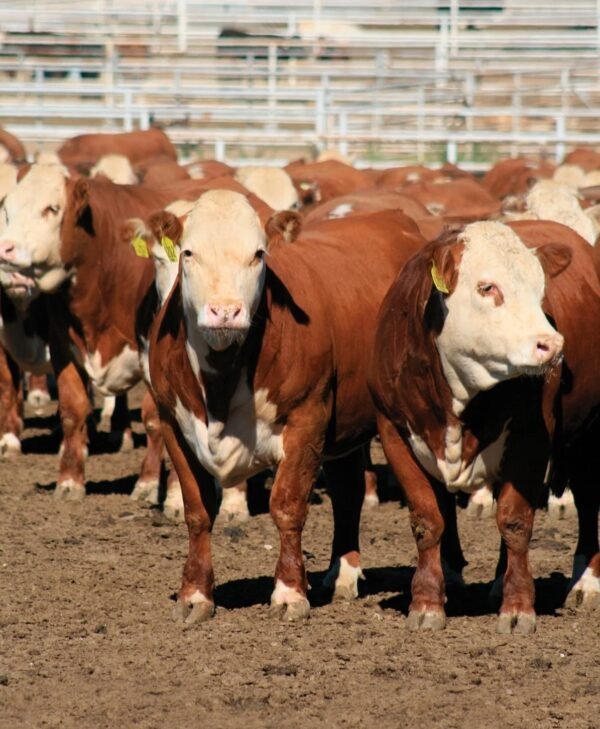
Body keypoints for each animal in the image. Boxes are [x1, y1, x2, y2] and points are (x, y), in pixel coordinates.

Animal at [145, 192, 427, 625]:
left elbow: (288, 507)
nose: (225, 311)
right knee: (348, 492)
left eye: (259, 254)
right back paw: (342, 575)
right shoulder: (173, 423)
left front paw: (290, 592)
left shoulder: (306, 420)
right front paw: (195, 595)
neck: (221, 379)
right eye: (188, 253)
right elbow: (197, 511)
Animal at [369, 219, 600, 633]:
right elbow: (428, 519)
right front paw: (427, 601)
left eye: (541, 290)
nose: (551, 344)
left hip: (588, 434)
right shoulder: (393, 430)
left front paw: (518, 607)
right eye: (487, 287)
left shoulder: (531, 435)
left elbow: (515, 521)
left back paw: (586, 583)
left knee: (588, 500)